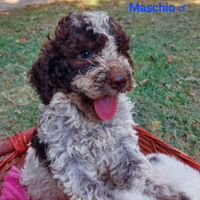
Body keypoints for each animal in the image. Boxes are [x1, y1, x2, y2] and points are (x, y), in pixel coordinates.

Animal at [20, 11, 194, 200]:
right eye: (85, 54)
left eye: (120, 51)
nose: (120, 79)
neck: (92, 122)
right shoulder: (71, 162)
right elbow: (93, 190)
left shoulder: (124, 147)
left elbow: (140, 173)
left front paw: (167, 193)